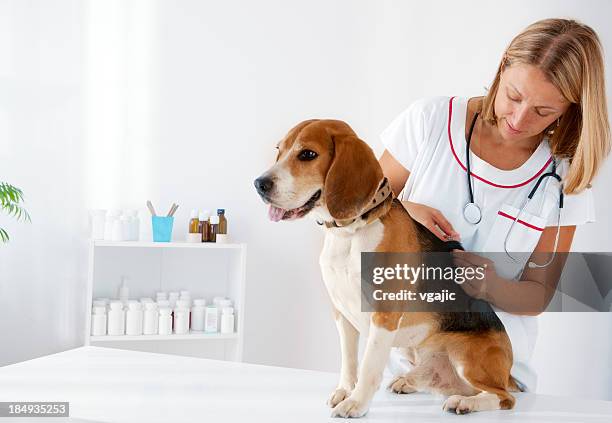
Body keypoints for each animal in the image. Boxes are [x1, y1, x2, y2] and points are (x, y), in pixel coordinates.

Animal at [252, 119, 516, 418]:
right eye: (279, 150)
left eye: (307, 154)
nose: (259, 184)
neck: (350, 232)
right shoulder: (341, 311)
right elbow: (349, 361)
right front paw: (345, 390)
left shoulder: (384, 314)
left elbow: (369, 365)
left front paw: (355, 403)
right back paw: (410, 382)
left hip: (467, 356)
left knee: (503, 397)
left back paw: (465, 402)